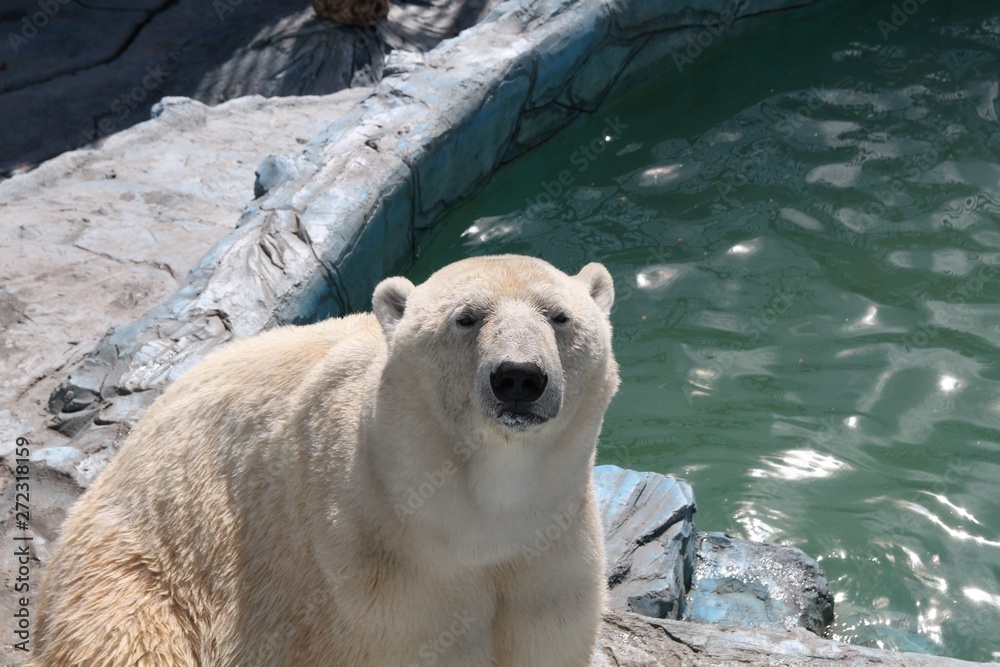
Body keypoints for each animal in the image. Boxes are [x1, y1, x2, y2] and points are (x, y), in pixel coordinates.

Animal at [31, 254, 620, 667]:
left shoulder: (549, 556)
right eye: (466, 318)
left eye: (559, 316)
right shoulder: (376, 577)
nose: (518, 377)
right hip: (140, 574)